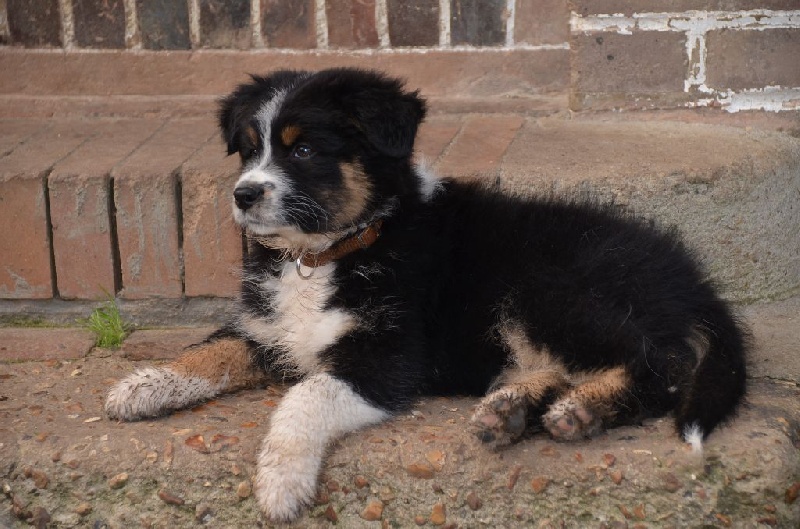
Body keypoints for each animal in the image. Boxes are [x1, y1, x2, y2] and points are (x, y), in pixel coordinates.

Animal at [106, 68, 748, 522]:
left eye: (304, 150)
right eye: (247, 149)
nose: (242, 195)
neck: (326, 256)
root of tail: (692, 281)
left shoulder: (385, 358)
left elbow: (305, 397)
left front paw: (280, 482)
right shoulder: (268, 329)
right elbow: (211, 348)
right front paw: (142, 386)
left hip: (554, 291)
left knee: (661, 363)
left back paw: (579, 410)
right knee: (564, 363)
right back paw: (509, 411)